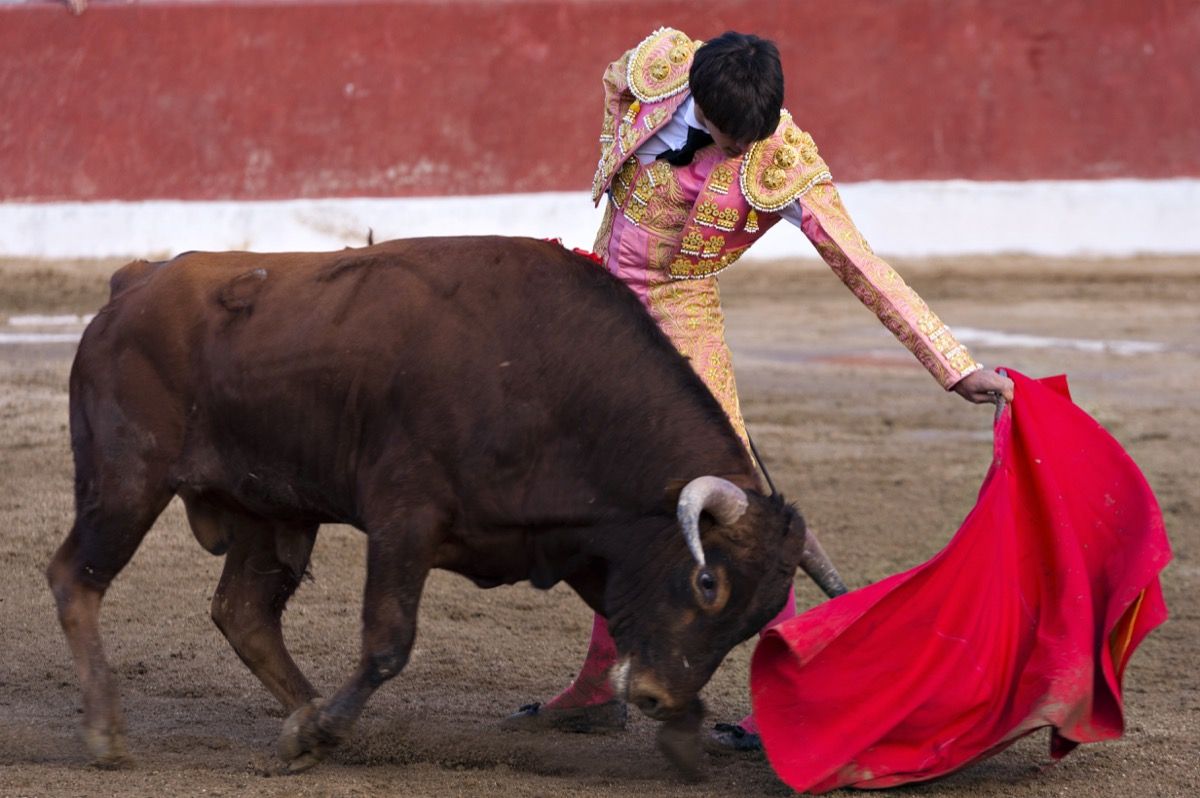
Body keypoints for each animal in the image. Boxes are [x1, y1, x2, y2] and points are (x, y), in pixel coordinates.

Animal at [46, 235, 844, 777]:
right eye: (709, 582)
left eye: (758, 618)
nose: (653, 696)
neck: (551, 380)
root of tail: (133, 284)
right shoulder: (405, 517)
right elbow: (389, 640)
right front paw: (323, 727)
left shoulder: (583, 540)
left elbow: (627, 616)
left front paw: (686, 730)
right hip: (125, 482)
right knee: (75, 579)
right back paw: (112, 732)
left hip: (270, 512)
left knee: (243, 612)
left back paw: (308, 716)